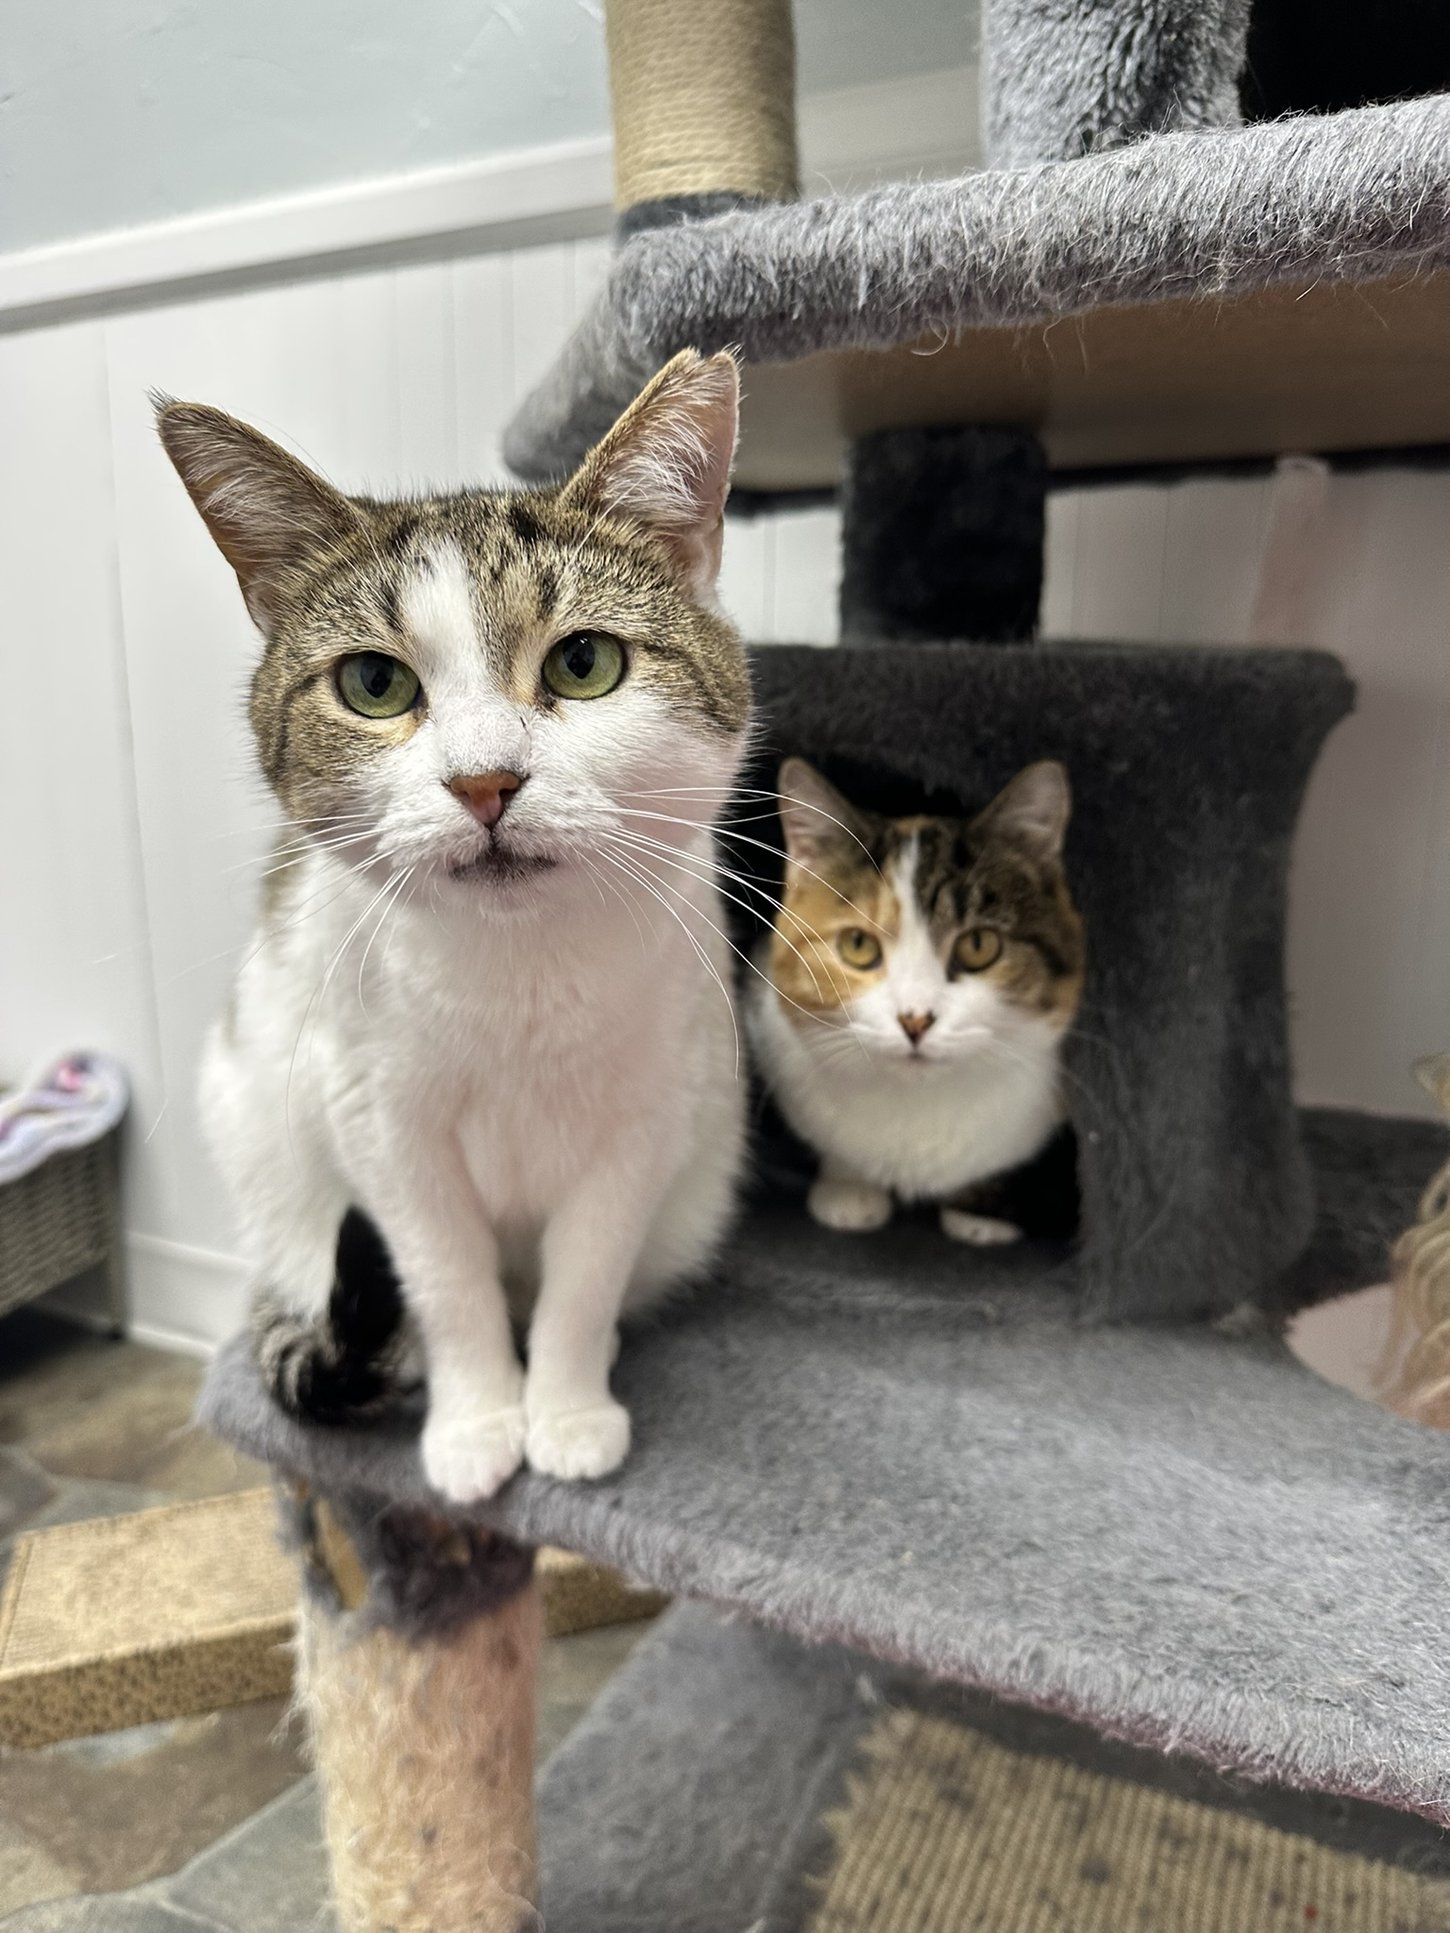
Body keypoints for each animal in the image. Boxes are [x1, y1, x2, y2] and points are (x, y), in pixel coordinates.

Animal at [157, 347, 750, 1500]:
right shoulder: (380, 1125)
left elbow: (583, 1277)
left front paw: (565, 1411)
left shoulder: (652, 1115)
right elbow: (447, 1282)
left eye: (583, 664)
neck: (516, 974)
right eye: (374, 683)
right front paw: (478, 1426)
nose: (485, 781)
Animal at [754, 753, 1082, 1237]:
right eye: (858, 944)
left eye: (978, 945)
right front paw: (848, 1188)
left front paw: (979, 1216)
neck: (917, 1103)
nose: (915, 1020)